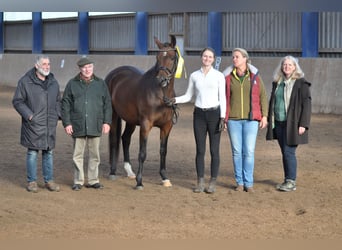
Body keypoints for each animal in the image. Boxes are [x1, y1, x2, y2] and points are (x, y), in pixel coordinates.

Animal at [105, 34, 179, 188]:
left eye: (171, 57)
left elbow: (163, 151)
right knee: (114, 140)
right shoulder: (146, 125)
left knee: (125, 138)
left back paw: (129, 172)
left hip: (131, 121)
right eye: (157, 57)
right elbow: (142, 153)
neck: (160, 95)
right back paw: (113, 172)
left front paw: (164, 177)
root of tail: (113, 74)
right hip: (114, 116)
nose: (161, 79)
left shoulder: (167, 126)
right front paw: (140, 182)